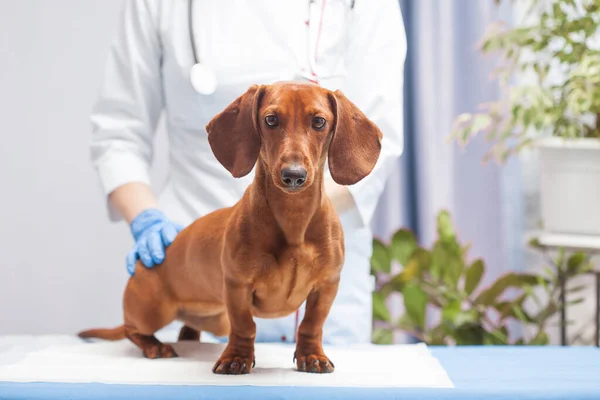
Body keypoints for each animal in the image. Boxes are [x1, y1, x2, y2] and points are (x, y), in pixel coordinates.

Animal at [79, 81, 382, 376]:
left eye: (319, 122)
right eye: (271, 120)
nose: (293, 176)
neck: (293, 219)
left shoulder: (326, 286)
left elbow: (311, 325)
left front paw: (312, 356)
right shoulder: (237, 286)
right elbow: (245, 326)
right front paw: (236, 358)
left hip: (214, 320)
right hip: (153, 311)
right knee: (132, 330)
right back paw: (155, 346)